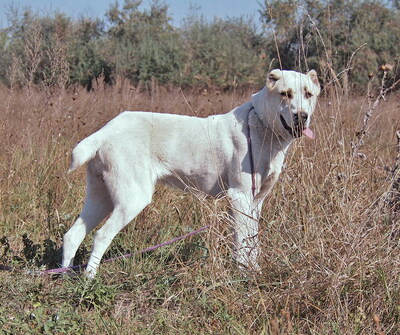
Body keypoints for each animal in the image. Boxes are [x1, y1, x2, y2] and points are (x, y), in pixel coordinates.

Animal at [62, 69, 320, 278]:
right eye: (285, 94)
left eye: (308, 94)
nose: (301, 116)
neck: (261, 124)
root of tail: (106, 130)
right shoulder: (239, 198)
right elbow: (242, 242)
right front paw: (243, 275)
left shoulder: (256, 202)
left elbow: (252, 242)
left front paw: (254, 271)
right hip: (132, 199)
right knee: (101, 236)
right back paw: (90, 279)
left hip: (101, 197)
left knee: (72, 235)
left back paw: (64, 278)